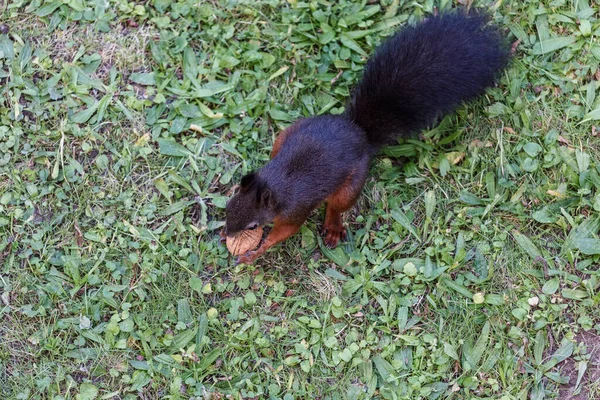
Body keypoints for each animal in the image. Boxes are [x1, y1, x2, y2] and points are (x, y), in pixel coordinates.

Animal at [220, 9, 510, 264]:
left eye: (253, 225)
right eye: (230, 203)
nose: (228, 231)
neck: (274, 184)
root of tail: (359, 131)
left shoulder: (295, 210)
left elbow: (285, 232)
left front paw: (256, 251)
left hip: (353, 181)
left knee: (338, 205)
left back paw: (333, 225)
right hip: (286, 134)